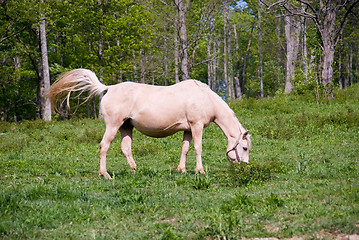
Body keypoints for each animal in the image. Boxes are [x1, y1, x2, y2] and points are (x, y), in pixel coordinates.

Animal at [46, 68, 252, 179]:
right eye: (244, 148)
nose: (244, 167)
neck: (204, 97)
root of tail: (109, 88)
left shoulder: (187, 129)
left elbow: (185, 148)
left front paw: (182, 169)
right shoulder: (197, 126)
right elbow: (197, 148)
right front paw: (199, 170)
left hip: (126, 127)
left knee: (125, 148)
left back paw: (134, 169)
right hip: (113, 126)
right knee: (104, 146)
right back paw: (104, 174)